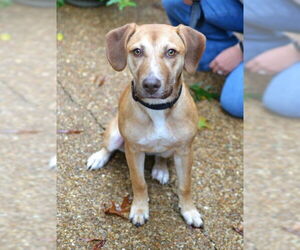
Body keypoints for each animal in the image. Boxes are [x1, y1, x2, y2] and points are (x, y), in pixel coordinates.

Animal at [85, 23, 205, 229]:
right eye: (137, 51)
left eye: (171, 52)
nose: (150, 84)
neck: (157, 108)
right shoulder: (133, 151)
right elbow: (139, 182)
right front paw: (140, 210)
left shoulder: (185, 151)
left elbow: (185, 186)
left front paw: (189, 211)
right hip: (114, 134)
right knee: (108, 148)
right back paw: (98, 158)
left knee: (161, 156)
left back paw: (161, 169)